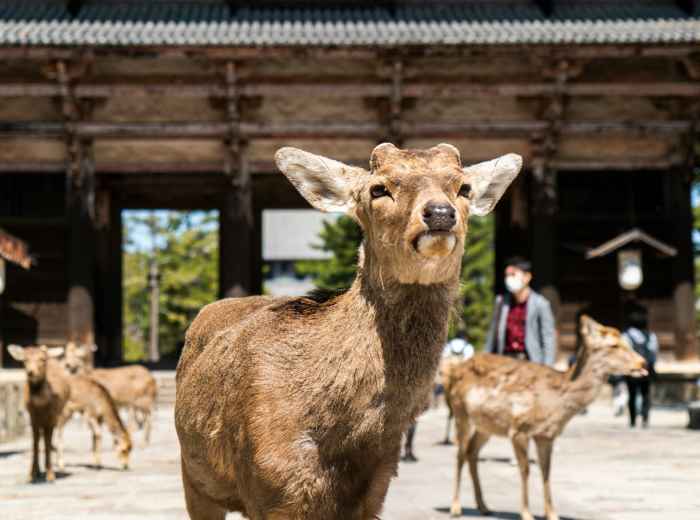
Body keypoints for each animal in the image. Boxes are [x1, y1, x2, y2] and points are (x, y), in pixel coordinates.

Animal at [7, 344, 70, 483]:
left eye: (42, 359)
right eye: (24, 359)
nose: (31, 372)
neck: (41, 406)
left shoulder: (51, 417)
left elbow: (47, 442)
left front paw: (50, 475)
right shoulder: (32, 417)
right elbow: (35, 443)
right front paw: (31, 474)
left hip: (60, 413)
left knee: (57, 434)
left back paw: (59, 465)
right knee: (41, 438)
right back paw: (39, 470)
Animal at [175, 143, 522, 520]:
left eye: (464, 188)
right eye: (379, 189)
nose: (440, 213)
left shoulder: (374, 492)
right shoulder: (269, 490)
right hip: (194, 476)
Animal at [447, 315, 648, 520]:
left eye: (628, 342)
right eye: (614, 345)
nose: (642, 363)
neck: (554, 404)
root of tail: (454, 370)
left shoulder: (546, 435)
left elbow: (546, 471)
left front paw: (551, 514)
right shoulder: (518, 429)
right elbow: (525, 470)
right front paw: (526, 513)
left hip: (486, 425)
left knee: (472, 452)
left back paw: (484, 506)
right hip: (460, 411)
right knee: (460, 453)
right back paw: (455, 507)